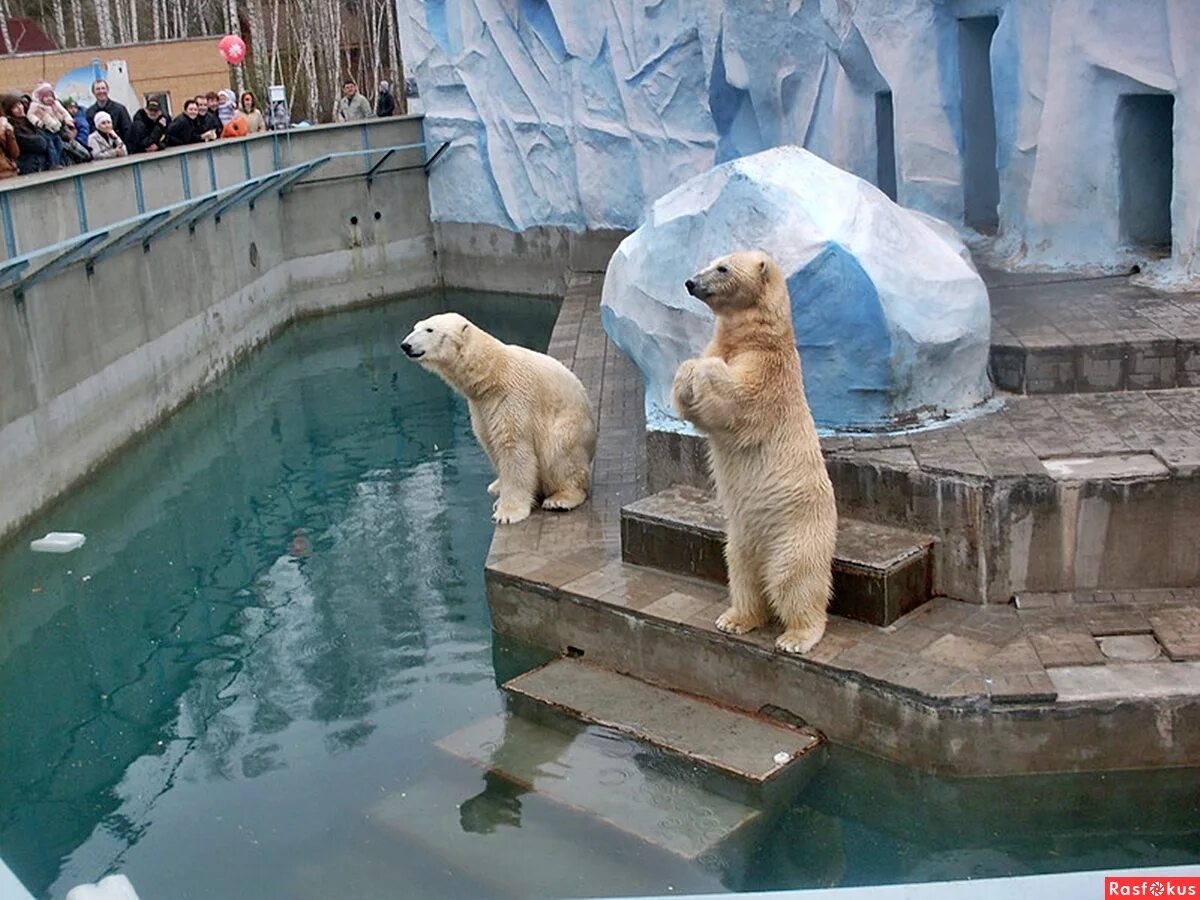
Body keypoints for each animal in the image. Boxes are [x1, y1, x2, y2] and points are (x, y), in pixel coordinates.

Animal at [400, 314, 597, 525]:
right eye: (415, 327)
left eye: (429, 329)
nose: (406, 345)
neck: (492, 372)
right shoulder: (481, 406)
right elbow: (489, 440)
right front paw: (501, 494)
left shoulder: (513, 398)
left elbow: (513, 447)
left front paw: (507, 513)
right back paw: (496, 485)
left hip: (567, 430)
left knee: (559, 453)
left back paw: (561, 498)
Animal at [672, 250, 840, 652]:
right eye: (711, 260)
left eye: (722, 268)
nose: (690, 282)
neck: (756, 336)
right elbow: (694, 406)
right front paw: (686, 372)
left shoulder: (769, 370)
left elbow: (737, 397)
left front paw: (703, 370)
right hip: (740, 536)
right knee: (741, 572)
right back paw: (735, 619)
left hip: (797, 530)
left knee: (794, 579)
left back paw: (797, 636)